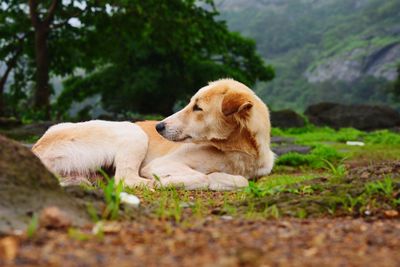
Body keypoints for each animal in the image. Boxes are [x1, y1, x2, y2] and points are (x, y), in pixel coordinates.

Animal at [32, 78, 276, 192]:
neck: (239, 151)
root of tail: (37, 147)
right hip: (133, 131)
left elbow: (243, 180)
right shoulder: (160, 165)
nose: (159, 126)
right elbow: (213, 177)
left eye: (198, 108)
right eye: (191, 103)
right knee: (126, 179)